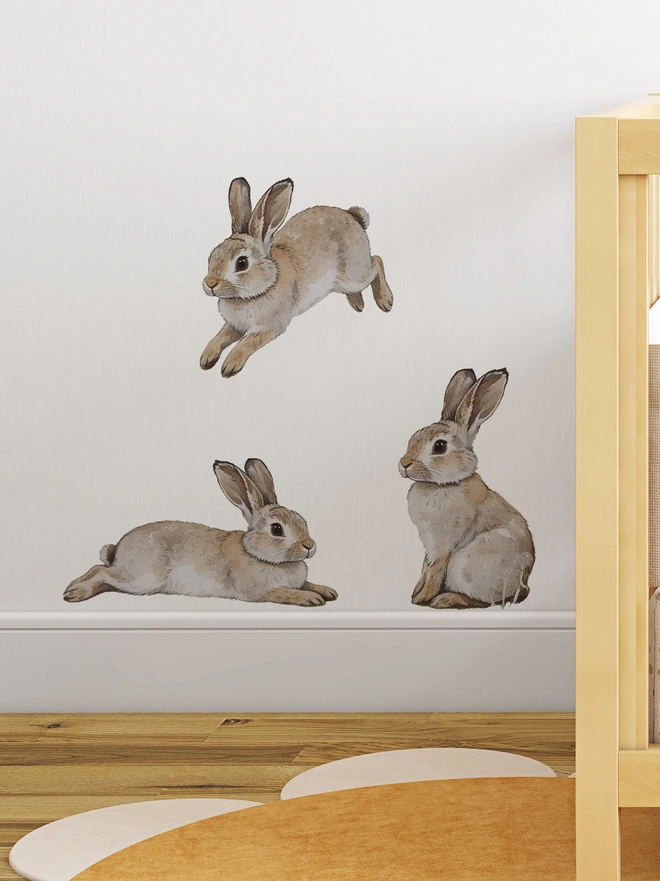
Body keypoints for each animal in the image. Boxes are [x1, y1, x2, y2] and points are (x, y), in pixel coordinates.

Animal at [63, 459, 338, 607]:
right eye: (277, 529)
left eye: (302, 519)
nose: (310, 545)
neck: (256, 553)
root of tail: (117, 550)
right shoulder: (259, 591)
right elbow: (284, 592)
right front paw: (310, 599)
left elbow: (308, 582)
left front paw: (327, 591)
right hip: (143, 578)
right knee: (102, 571)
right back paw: (75, 592)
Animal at [200, 177, 393, 377]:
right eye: (211, 256)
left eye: (242, 263)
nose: (210, 284)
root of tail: (355, 218)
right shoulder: (233, 326)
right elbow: (219, 337)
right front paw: (206, 358)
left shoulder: (270, 326)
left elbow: (246, 343)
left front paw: (230, 365)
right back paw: (357, 303)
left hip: (354, 275)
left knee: (377, 261)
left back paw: (385, 300)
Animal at [398, 368, 535, 610]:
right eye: (414, 436)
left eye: (439, 446)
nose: (404, 464)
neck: (444, 484)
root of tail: (523, 585)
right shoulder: (429, 545)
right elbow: (425, 568)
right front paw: (416, 592)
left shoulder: (443, 544)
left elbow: (434, 571)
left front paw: (422, 598)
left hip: (467, 565)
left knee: (485, 601)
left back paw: (446, 599)